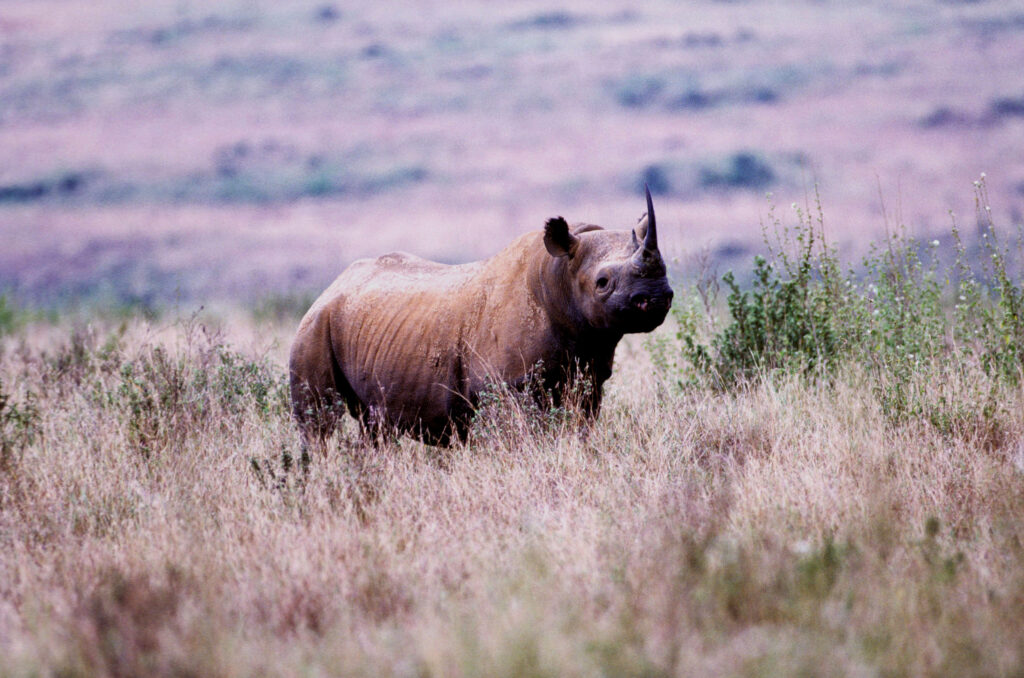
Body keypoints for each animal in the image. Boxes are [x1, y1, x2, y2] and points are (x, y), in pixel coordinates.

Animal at [288, 189, 671, 446]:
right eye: (602, 283)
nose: (655, 297)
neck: (561, 273)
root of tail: (332, 286)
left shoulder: (590, 376)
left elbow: (579, 427)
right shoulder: (505, 385)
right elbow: (517, 440)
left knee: (374, 425)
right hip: (315, 324)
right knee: (319, 422)